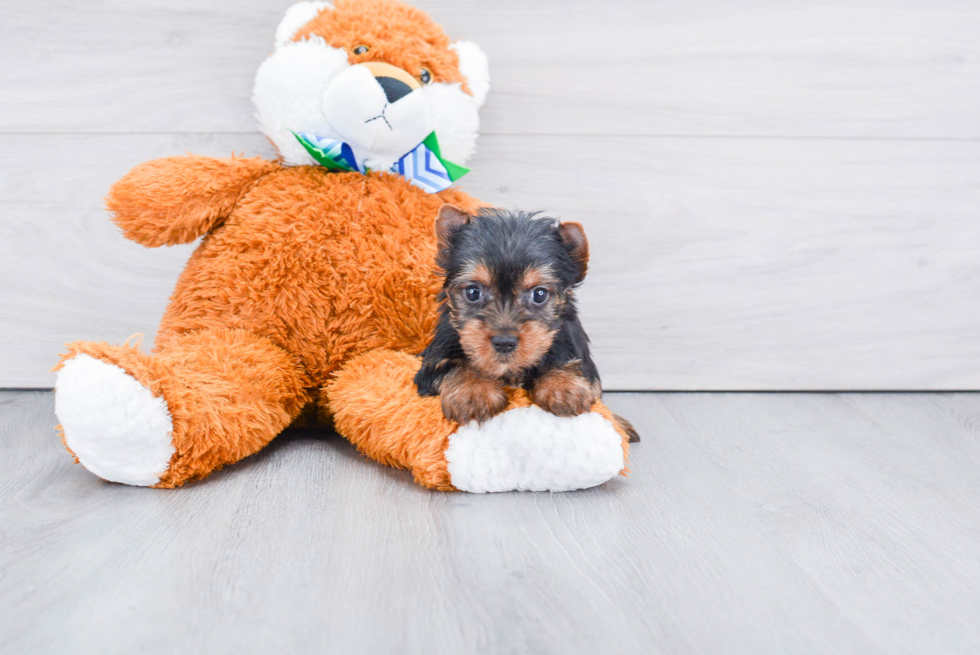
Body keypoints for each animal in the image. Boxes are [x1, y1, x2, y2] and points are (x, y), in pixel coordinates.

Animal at [416, 205, 640, 440]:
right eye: (473, 292)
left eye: (539, 294)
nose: (504, 342)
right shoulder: (434, 359)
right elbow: (453, 364)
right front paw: (473, 391)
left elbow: (565, 359)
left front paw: (562, 386)